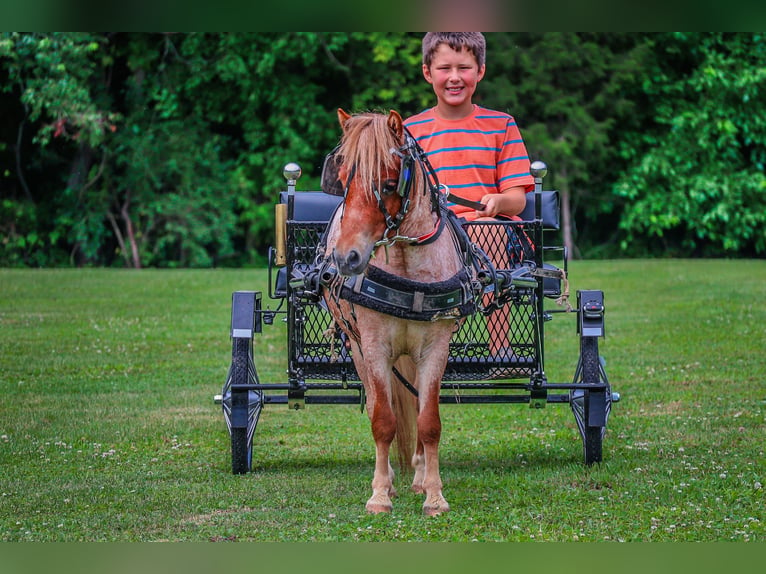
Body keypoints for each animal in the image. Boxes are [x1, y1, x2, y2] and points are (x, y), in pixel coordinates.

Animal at [318, 109, 480, 516]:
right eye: (343, 182)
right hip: (358, 347)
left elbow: (429, 421)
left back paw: (419, 476)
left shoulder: (435, 349)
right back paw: (389, 479)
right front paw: (379, 495)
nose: (347, 257)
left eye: (390, 184)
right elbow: (383, 420)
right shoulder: (374, 347)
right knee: (381, 404)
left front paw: (435, 495)